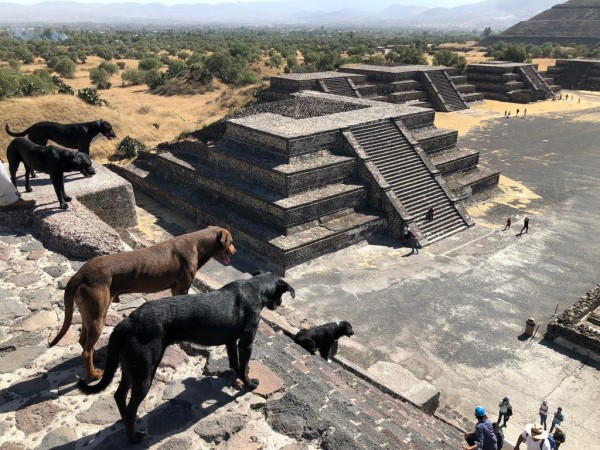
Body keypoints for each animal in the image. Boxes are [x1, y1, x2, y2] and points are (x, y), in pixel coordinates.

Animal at [49, 225, 237, 380]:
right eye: (231, 242)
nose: (235, 252)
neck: (197, 244)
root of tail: (80, 274)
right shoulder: (181, 288)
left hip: (89, 313)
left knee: (83, 341)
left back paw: (97, 357)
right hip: (97, 315)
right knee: (86, 351)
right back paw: (94, 374)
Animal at [78, 270, 294, 442]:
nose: (280, 304)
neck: (255, 287)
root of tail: (128, 322)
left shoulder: (231, 341)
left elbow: (234, 362)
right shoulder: (246, 342)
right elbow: (243, 366)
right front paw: (249, 384)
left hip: (131, 367)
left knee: (119, 395)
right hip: (144, 372)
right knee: (131, 408)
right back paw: (133, 438)